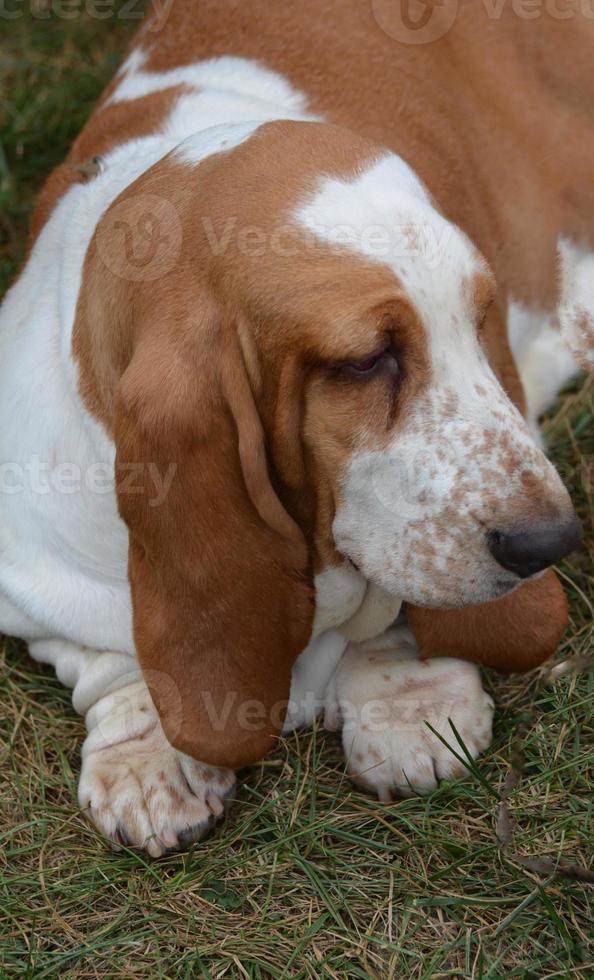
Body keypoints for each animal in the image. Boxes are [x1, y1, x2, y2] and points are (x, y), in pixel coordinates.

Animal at [2, 0, 588, 852]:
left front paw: (410, 703)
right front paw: (150, 760)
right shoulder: (35, 577)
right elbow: (110, 654)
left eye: (479, 316)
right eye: (365, 360)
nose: (552, 543)